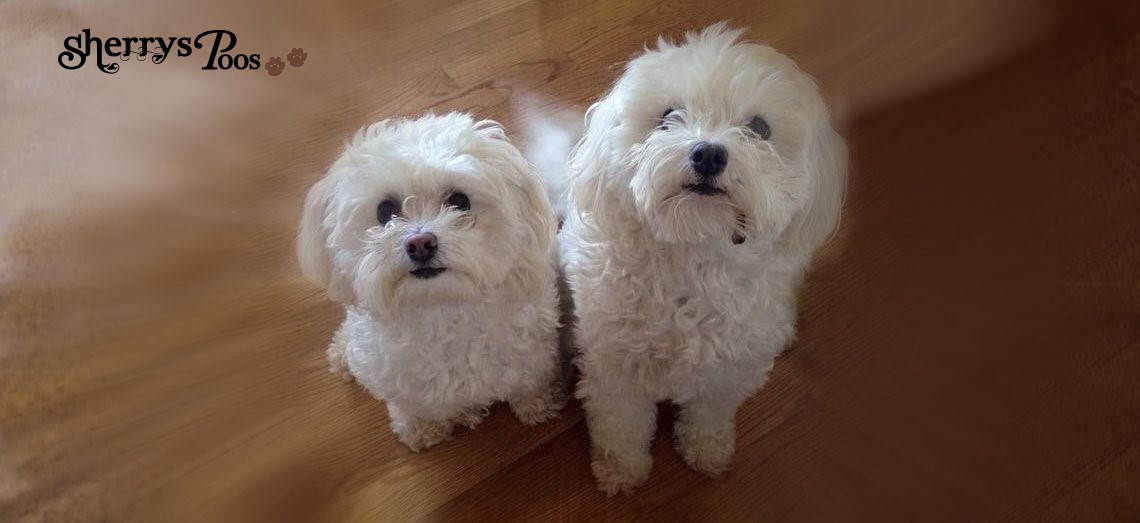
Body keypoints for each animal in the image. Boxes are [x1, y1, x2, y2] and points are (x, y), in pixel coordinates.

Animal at [300, 112, 567, 453]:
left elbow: (528, 382)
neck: (440, 309)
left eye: (459, 201)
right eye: (385, 211)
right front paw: (422, 429)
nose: (420, 243)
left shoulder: (532, 356)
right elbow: (411, 406)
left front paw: (538, 405)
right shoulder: (396, 380)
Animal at [531, 26, 848, 494]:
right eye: (668, 116)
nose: (709, 154)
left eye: (759, 127)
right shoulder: (615, 370)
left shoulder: (727, 374)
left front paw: (708, 451)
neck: (694, 252)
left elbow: (709, 416)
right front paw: (621, 471)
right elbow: (621, 425)